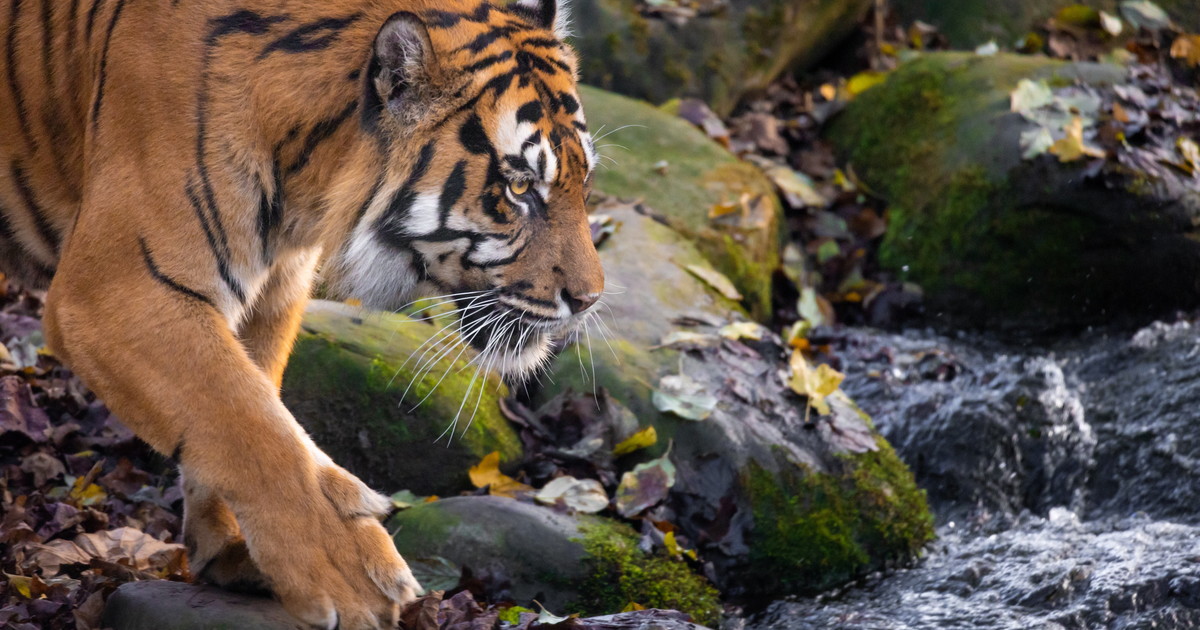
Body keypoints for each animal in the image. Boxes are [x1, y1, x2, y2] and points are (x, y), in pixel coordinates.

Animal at [0, 0, 604, 627]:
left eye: (583, 181)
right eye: (519, 187)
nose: (589, 299)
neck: (304, 175)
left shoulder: (274, 287)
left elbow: (251, 399)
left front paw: (232, 551)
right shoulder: (116, 294)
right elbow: (249, 424)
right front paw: (353, 578)